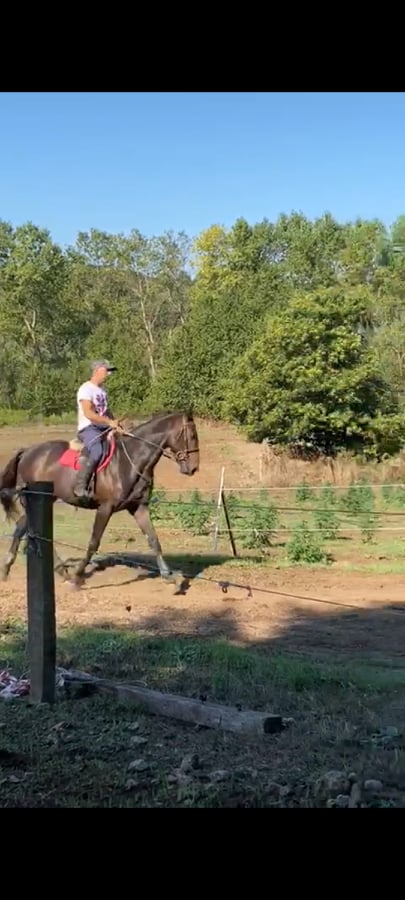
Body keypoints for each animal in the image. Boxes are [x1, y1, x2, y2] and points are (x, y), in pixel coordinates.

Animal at [0, 410, 200, 587]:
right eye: (192, 435)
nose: (194, 468)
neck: (128, 461)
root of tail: (27, 452)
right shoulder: (105, 508)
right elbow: (93, 542)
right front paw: (78, 577)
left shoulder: (139, 507)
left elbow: (154, 540)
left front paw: (168, 576)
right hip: (35, 498)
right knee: (28, 528)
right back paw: (60, 571)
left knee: (22, 526)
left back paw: (15, 568)